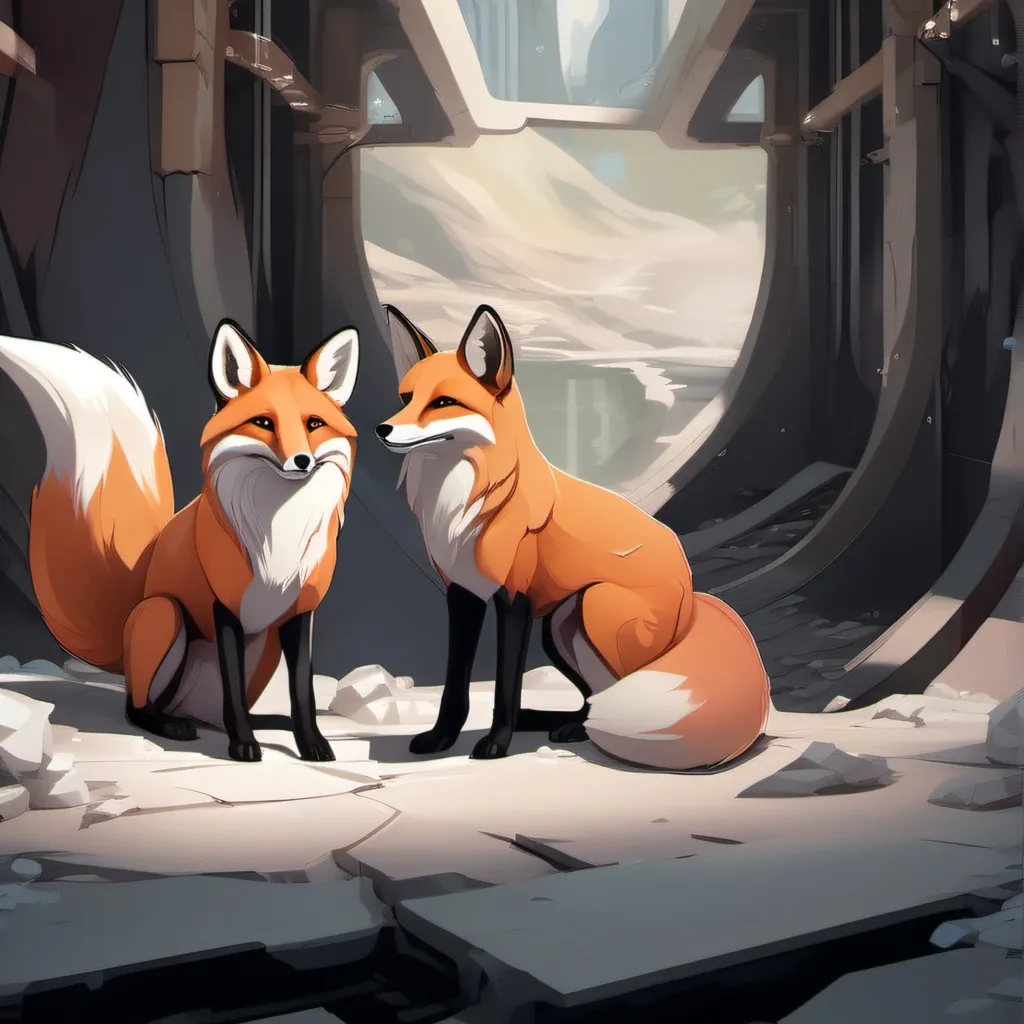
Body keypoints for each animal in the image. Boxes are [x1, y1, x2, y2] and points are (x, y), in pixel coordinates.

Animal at [0, 319, 360, 762]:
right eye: (263, 423)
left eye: (313, 425)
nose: (302, 461)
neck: (279, 527)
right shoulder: (224, 609)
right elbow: (234, 694)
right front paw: (243, 746)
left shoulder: (299, 613)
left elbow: (301, 692)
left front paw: (310, 742)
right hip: (165, 614)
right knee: (140, 707)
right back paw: (173, 726)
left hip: (265, 646)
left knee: (220, 710)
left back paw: (262, 722)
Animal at [375, 303, 770, 770]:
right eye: (406, 399)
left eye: (442, 403)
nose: (382, 429)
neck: (466, 503)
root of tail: (692, 599)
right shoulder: (463, 595)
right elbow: (454, 686)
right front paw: (440, 739)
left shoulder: (515, 600)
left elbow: (505, 687)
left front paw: (496, 744)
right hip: (560, 629)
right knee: (593, 699)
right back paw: (564, 723)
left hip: (594, 607)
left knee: (620, 697)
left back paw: (584, 733)